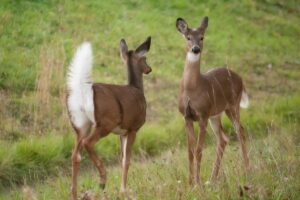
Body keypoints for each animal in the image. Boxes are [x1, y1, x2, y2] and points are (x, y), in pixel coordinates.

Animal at [67, 36, 152, 199]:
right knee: (88, 143)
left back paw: (74, 193)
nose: (149, 69)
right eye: (144, 58)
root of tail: (83, 92)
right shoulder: (133, 128)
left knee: (75, 155)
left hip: (81, 125)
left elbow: (122, 158)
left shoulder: (122, 132)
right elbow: (126, 160)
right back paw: (102, 180)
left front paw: (122, 189)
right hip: (105, 124)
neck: (137, 88)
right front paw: (124, 190)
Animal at [176, 17, 251, 186]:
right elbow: (190, 151)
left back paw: (247, 170)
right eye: (188, 37)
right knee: (223, 139)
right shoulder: (187, 117)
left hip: (232, 105)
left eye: (202, 37)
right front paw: (189, 183)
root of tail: (240, 78)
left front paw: (197, 184)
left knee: (240, 131)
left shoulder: (203, 114)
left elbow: (199, 151)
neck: (192, 88)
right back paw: (212, 179)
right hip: (215, 114)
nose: (196, 49)